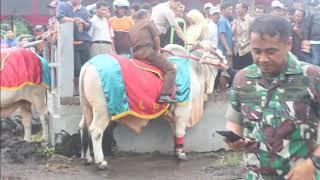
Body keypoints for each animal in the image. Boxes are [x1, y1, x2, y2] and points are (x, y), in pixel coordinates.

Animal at [79, 44, 221, 169]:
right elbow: (180, 131)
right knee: (96, 131)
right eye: (215, 48)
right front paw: (181, 154)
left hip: (87, 107)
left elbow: (175, 132)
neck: (194, 70)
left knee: (84, 127)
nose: (224, 60)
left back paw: (87, 158)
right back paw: (100, 162)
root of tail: (87, 66)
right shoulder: (183, 108)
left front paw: (176, 150)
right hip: (102, 110)